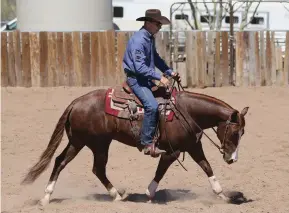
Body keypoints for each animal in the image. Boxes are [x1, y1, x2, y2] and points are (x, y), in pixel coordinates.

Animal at [21, 83, 249, 206]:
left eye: (243, 133)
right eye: (235, 132)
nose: (232, 159)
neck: (187, 111)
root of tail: (76, 103)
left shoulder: (192, 146)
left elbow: (206, 167)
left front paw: (223, 195)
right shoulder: (173, 150)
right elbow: (163, 170)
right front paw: (149, 194)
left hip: (80, 142)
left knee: (63, 162)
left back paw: (46, 198)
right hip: (96, 143)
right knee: (95, 168)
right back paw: (116, 196)